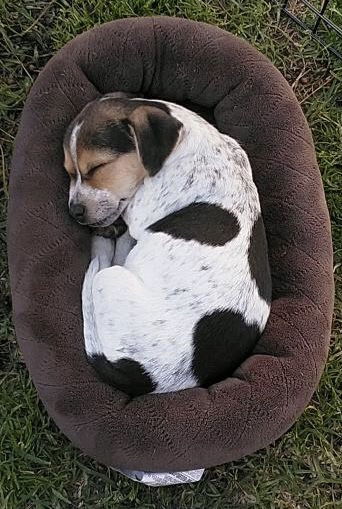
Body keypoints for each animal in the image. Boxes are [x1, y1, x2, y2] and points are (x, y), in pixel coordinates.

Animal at [63, 93, 272, 394]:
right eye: (69, 172)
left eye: (97, 167)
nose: (74, 212)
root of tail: (144, 379)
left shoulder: (140, 210)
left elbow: (125, 213)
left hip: (109, 279)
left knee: (105, 265)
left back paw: (101, 245)